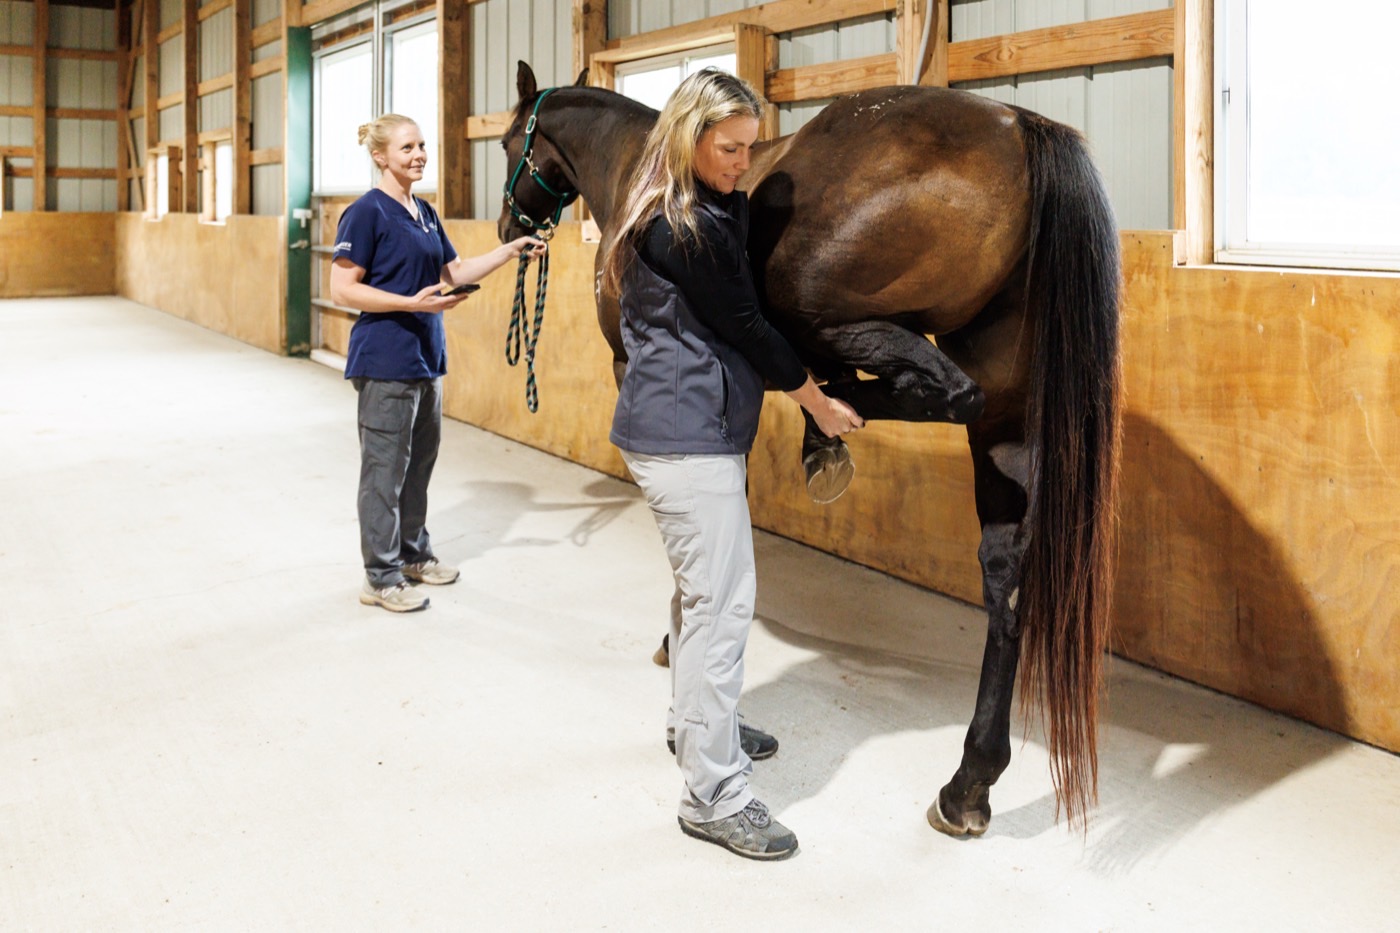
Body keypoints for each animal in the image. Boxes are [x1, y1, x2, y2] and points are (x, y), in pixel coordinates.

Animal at [497, 62, 1122, 836]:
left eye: (507, 144)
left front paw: (678, 638)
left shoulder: (629, 369)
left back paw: (830, 421)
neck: (650, 171)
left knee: (939, 388)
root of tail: (1016, 126)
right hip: (1007, 411)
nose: (507, 227)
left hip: (819, 308)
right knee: (1004, 576)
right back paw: (970, 782)